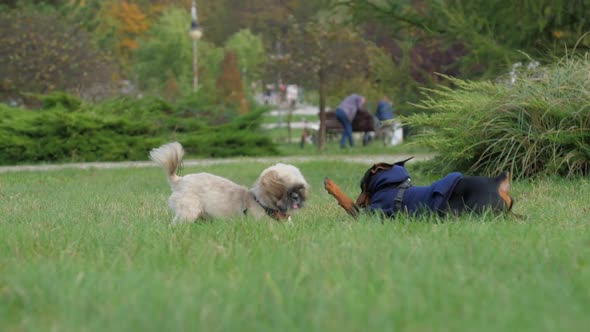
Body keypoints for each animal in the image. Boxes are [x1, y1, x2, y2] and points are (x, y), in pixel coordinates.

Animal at [150, 141, 312, 224]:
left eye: (300, 188)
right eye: (285, 190)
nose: (296, 197)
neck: (261, 203)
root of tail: (179, 180)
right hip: (188, 212)